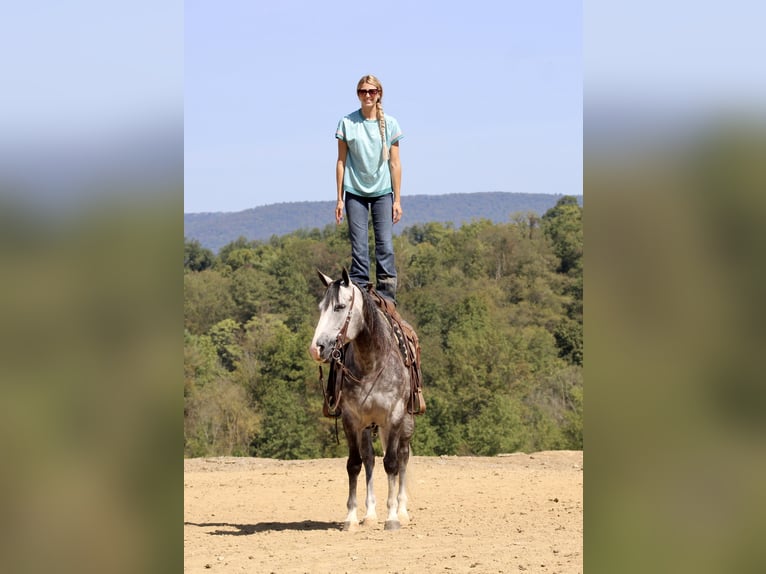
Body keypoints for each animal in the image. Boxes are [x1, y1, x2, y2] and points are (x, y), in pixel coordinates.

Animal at [308, 270, 416, 532]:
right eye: (321, 307)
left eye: (339, 306)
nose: (317, 348)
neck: (372, 361)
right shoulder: (352, 420)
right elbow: (355, 464)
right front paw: (352, 517)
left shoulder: (394, 416)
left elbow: (392, 463)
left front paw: (393, 518)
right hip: (368, 426)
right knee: (369, 458)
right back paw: (370, 514)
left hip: (405, 424)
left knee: (402, 456)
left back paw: (402, 510)